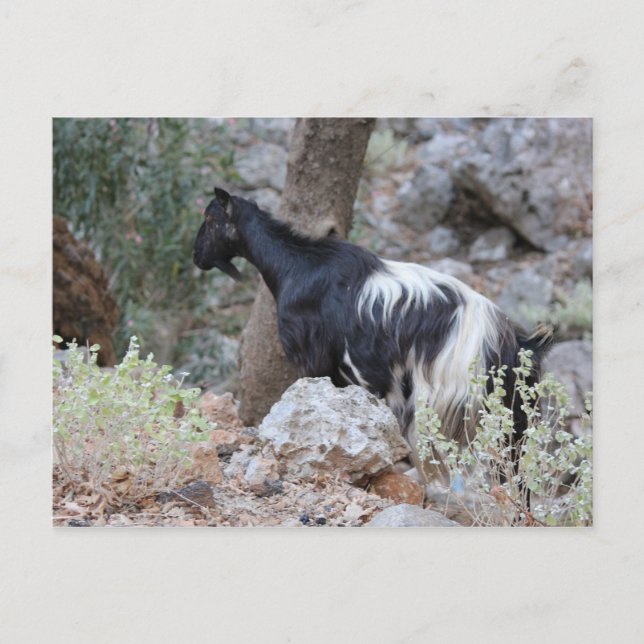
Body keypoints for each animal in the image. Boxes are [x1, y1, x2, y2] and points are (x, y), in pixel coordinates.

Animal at [193, 188, 553, 482]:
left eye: (210, 218)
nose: (196, 256)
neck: (298, 264)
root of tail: (516, 343)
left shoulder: (316, 357)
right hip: (515, 408)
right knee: (517, 465)